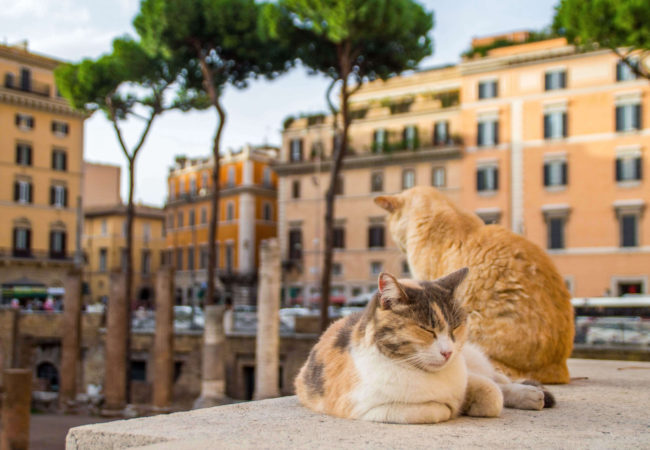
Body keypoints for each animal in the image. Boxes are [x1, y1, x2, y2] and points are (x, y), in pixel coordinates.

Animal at [294, 268, 552, 424]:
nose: (448, 352)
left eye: (455, 327)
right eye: (427, 330)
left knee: (499, 379)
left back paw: (531, 393)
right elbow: (436, 409)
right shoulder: (370, 409)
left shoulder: (467, 376)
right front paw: (457, 407)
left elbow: (492, 393)